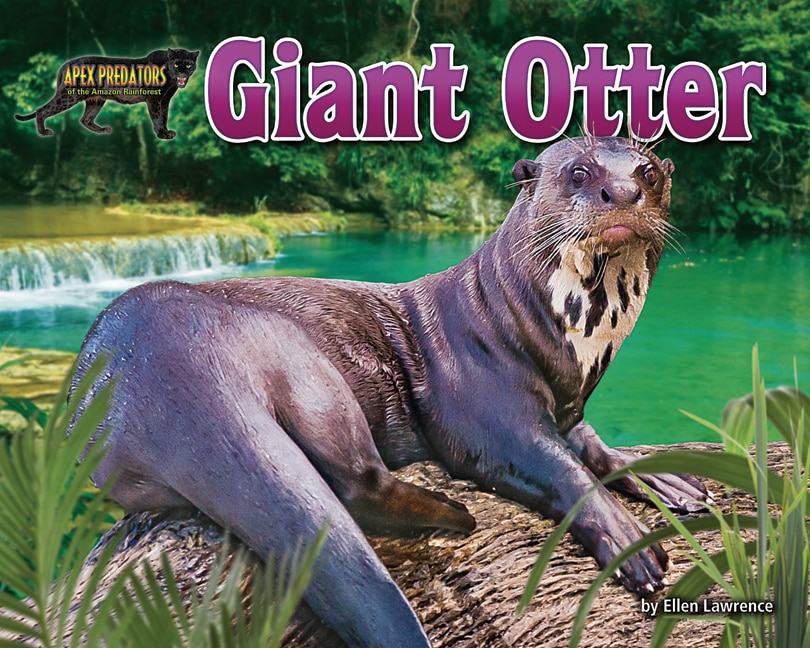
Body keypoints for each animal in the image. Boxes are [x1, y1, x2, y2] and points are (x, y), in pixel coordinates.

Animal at [69, 136, 706, 648]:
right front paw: (628, 540)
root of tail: (150, 365)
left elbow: (594, 448)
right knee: (355, 479)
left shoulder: (572, 406)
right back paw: (454, 515)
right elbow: (558, 466)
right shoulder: (487, 411)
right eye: (578, 172)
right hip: (295, 356)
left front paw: (666, 480)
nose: (623, 192)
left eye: (649, 172)